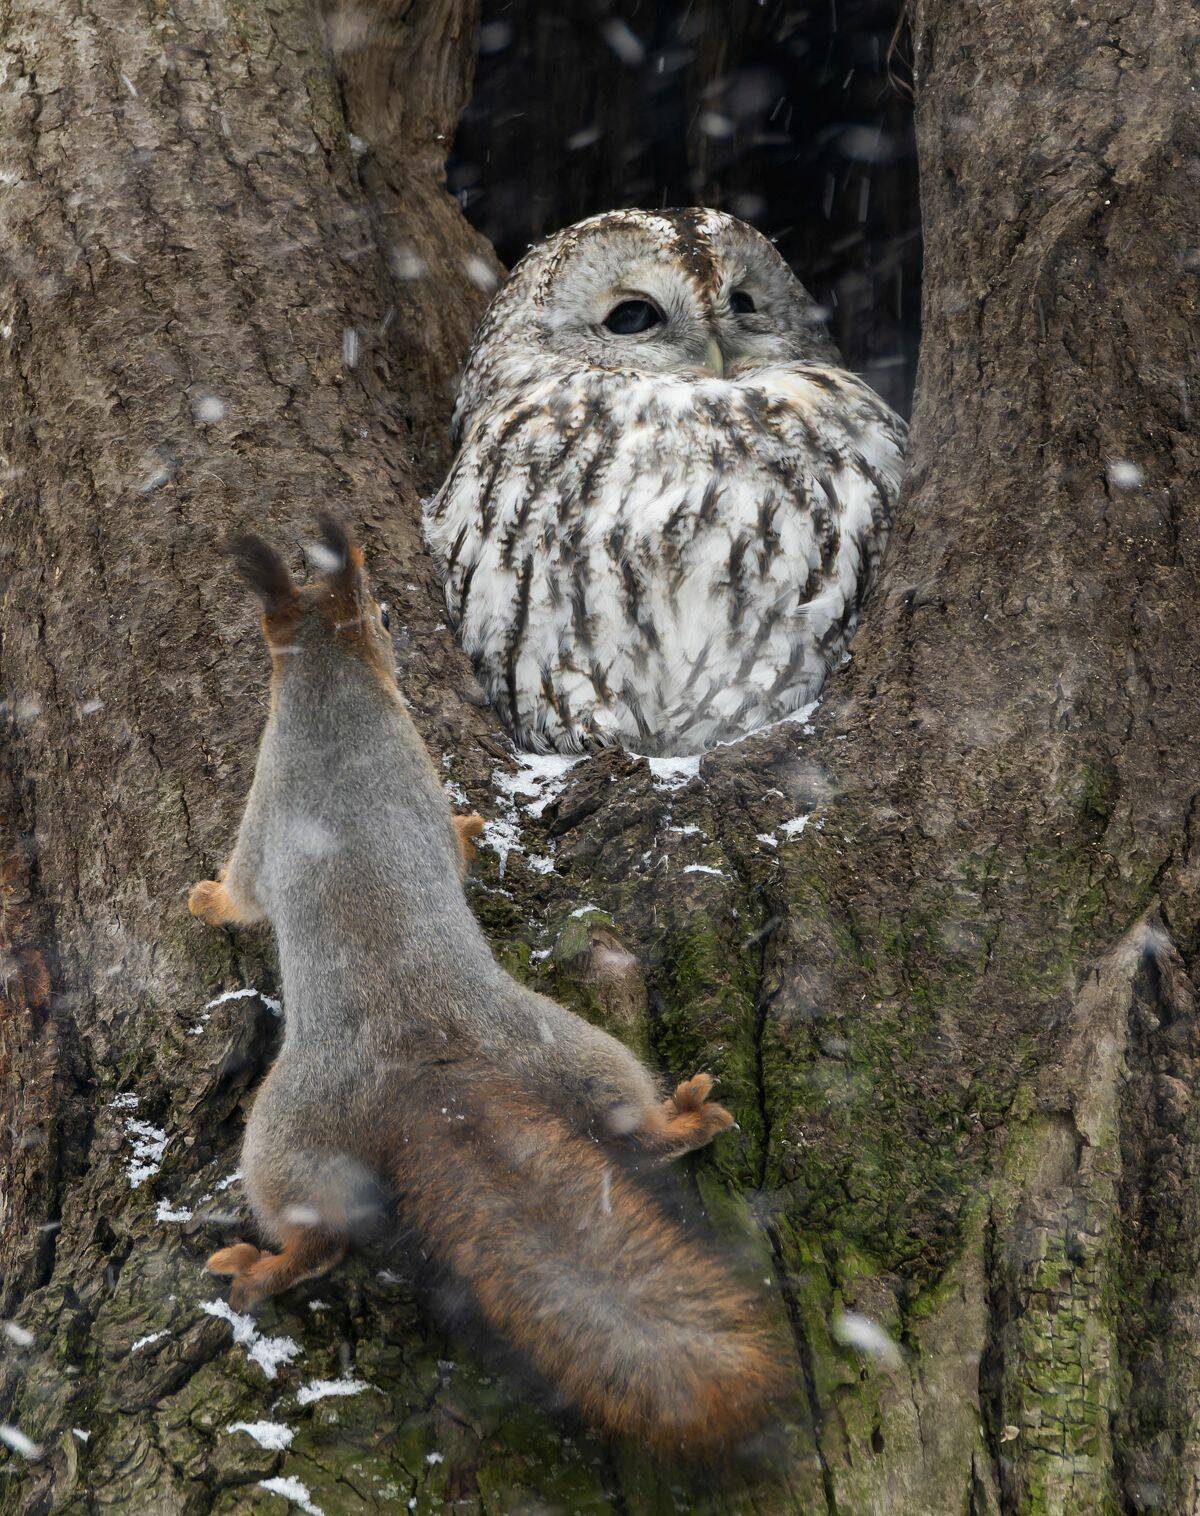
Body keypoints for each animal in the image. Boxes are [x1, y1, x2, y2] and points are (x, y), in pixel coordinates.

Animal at [188, 518, 781, 1443]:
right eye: (383, 617)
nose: (394, 625)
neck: (328, 705)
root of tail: (428, 1073)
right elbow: (252, 892)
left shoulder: (269, 805)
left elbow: (246, 893)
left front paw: (205, 898)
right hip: (506, 1071)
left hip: (361, 1115)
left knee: (328, 1237)